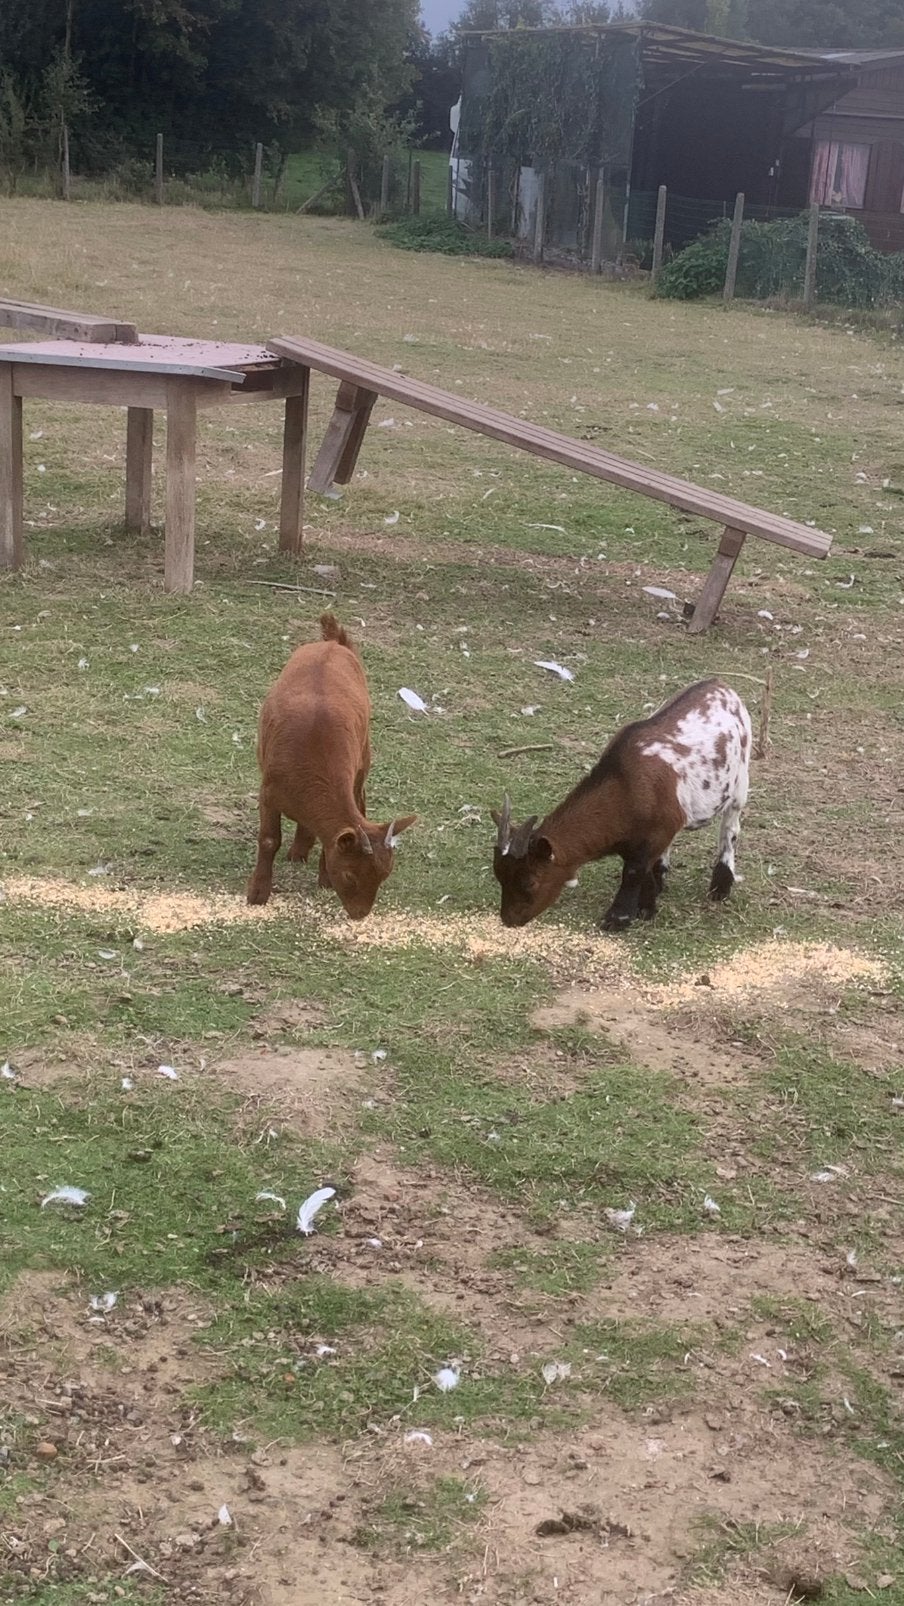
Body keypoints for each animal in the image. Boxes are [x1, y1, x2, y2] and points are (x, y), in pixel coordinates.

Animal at [247, 613, 416, 919]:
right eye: (349, 876)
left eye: (384, 875)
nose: (360, 913)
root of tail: (335, 642)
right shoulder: (269, 791)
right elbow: (268, 839)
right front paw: (257, 892)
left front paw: (324, 877)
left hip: (364, 752)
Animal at [491, 678, 751, 931]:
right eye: (499, 876)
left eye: (530, 881)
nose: (509, 919)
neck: (624, 784)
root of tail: (721, 684)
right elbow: (642, 869)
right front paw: (647, 904)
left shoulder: (655, 833)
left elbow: (634, 872)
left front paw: (619, 917)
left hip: (740, 778)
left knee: (730, 828)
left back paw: (721, 885)